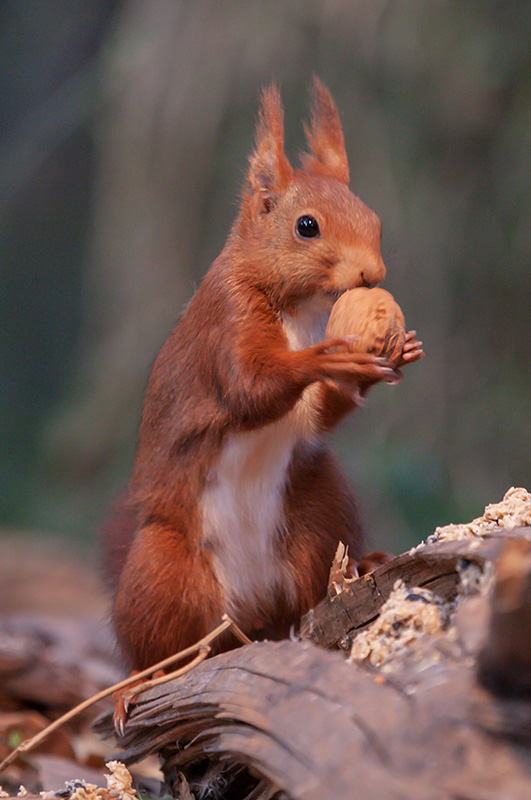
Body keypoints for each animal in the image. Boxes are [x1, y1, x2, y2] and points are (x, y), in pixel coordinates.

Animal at [104, 79, 424, 668]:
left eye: (375, 220)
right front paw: (325, 359)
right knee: (167, 641)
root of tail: (249, 612)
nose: (373, 274)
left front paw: (397, 351)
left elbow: (318, 414)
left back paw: (361, 565)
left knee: (307, 592)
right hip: (163, 566)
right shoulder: (226, 321)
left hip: (320, 508)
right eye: (306, 226)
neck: (300, 308)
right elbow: (247, 388)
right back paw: (151, 673)